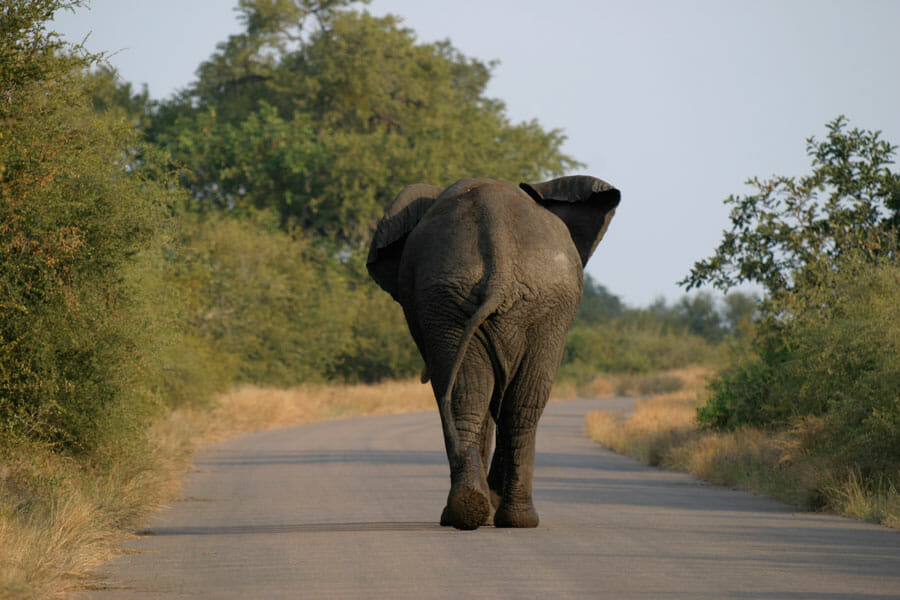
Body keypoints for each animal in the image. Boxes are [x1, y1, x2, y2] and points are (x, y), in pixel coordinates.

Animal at [366, 176, 620, 530]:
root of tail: (499, 258)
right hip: (467, 301)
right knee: (505, 401)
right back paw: (497, 515)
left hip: (515, 304)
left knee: (496, 400)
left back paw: (484, 513)